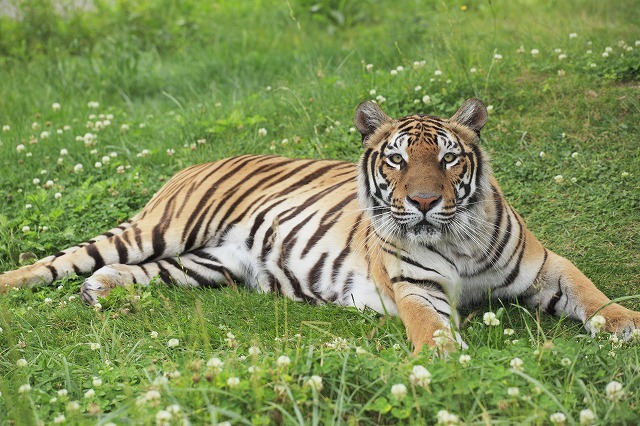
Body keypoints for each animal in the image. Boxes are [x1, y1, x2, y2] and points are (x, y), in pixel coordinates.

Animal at [1, 99, 640, 352]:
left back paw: (101, 290)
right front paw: (444, 359)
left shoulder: (546, 265)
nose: (425, 202)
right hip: (159, 230)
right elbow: (431, 328)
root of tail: (193, 163)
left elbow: (593, 296)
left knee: (135, 271)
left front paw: (626, 325)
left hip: (206, 265)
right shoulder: (415, 287)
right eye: (397, 160)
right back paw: (25, 283)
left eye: (449, 159)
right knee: (61, 260)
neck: (454, 239)